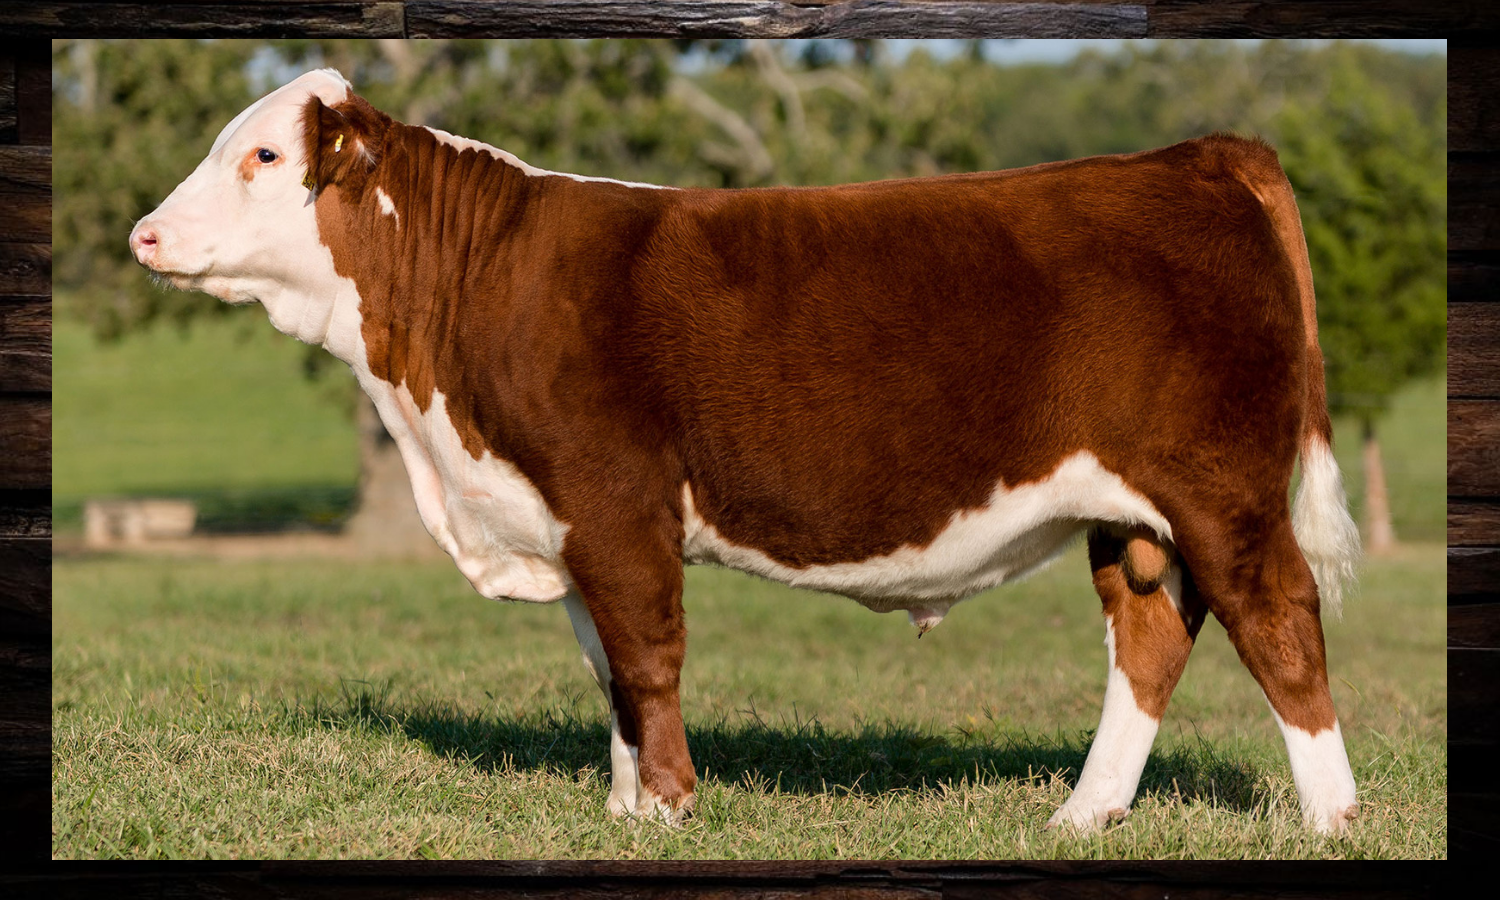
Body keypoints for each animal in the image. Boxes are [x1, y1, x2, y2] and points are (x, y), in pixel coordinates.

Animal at [129, 69, 1362, 834]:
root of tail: (1197, 155)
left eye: (264, 153)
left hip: (1223, 492)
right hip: (1134, 510)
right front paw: (627, 808)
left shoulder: (615, 501)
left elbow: (648, 657)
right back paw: (1079, 815)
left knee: (1281, 622)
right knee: (1150, 634)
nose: (145, 233)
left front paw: (673, 805)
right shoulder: (563, 519)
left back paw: (1331, 817)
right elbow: (607, 668)